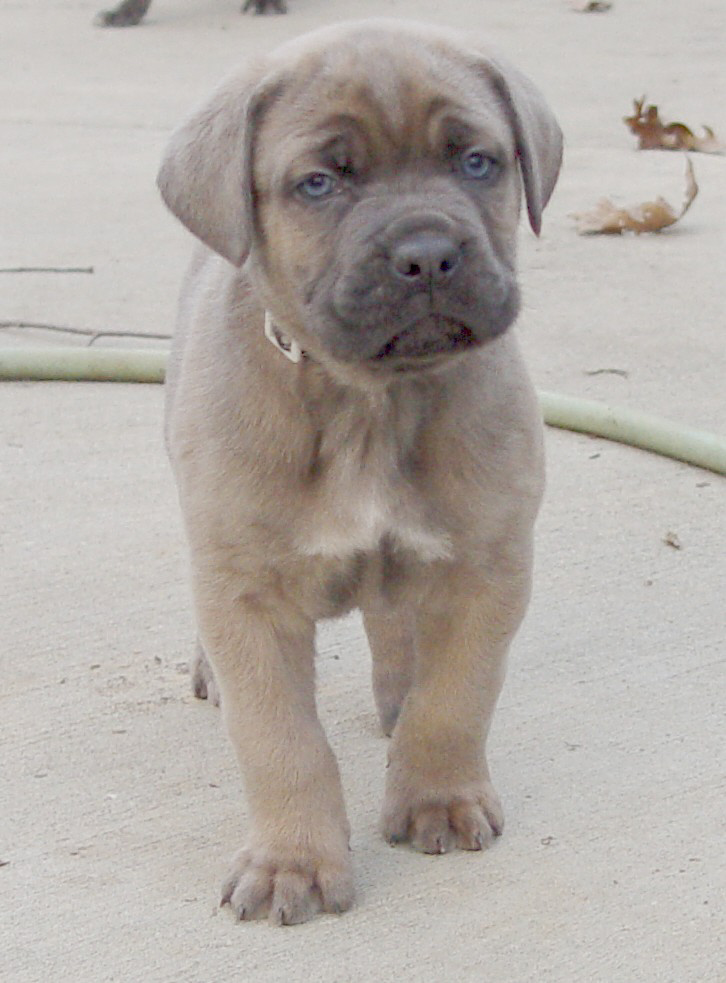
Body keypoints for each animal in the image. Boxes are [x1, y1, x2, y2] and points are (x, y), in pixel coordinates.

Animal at [159, 19, 564, 928]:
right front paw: (293, 862)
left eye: (476, 161)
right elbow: (282, 740)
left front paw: (438, 795)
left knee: (394, 622)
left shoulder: (487, 564)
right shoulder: (246, 591)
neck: (369, 400)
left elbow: (456, 696)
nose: (428, 254)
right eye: (318, 183)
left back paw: (396, 687)